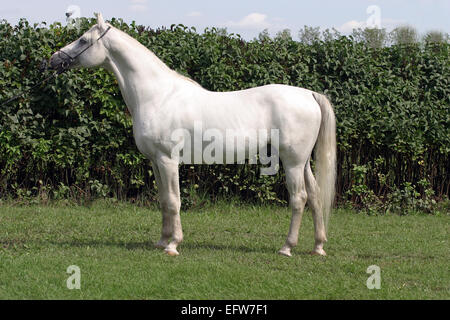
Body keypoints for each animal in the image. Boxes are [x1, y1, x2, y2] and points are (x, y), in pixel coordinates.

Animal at [51, 13, 336, 258]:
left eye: (83, 40)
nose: (54, 60)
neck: (158, 96)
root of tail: (309, 94)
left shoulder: (168, 160)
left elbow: (174, 201)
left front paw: (173, 245)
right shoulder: (156, 161)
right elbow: (163, 201)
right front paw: (162, 240)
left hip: (292, 162)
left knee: (299, 199)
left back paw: (287, 247)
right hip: (302, 162)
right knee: (315, 195)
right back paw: (318, 246)